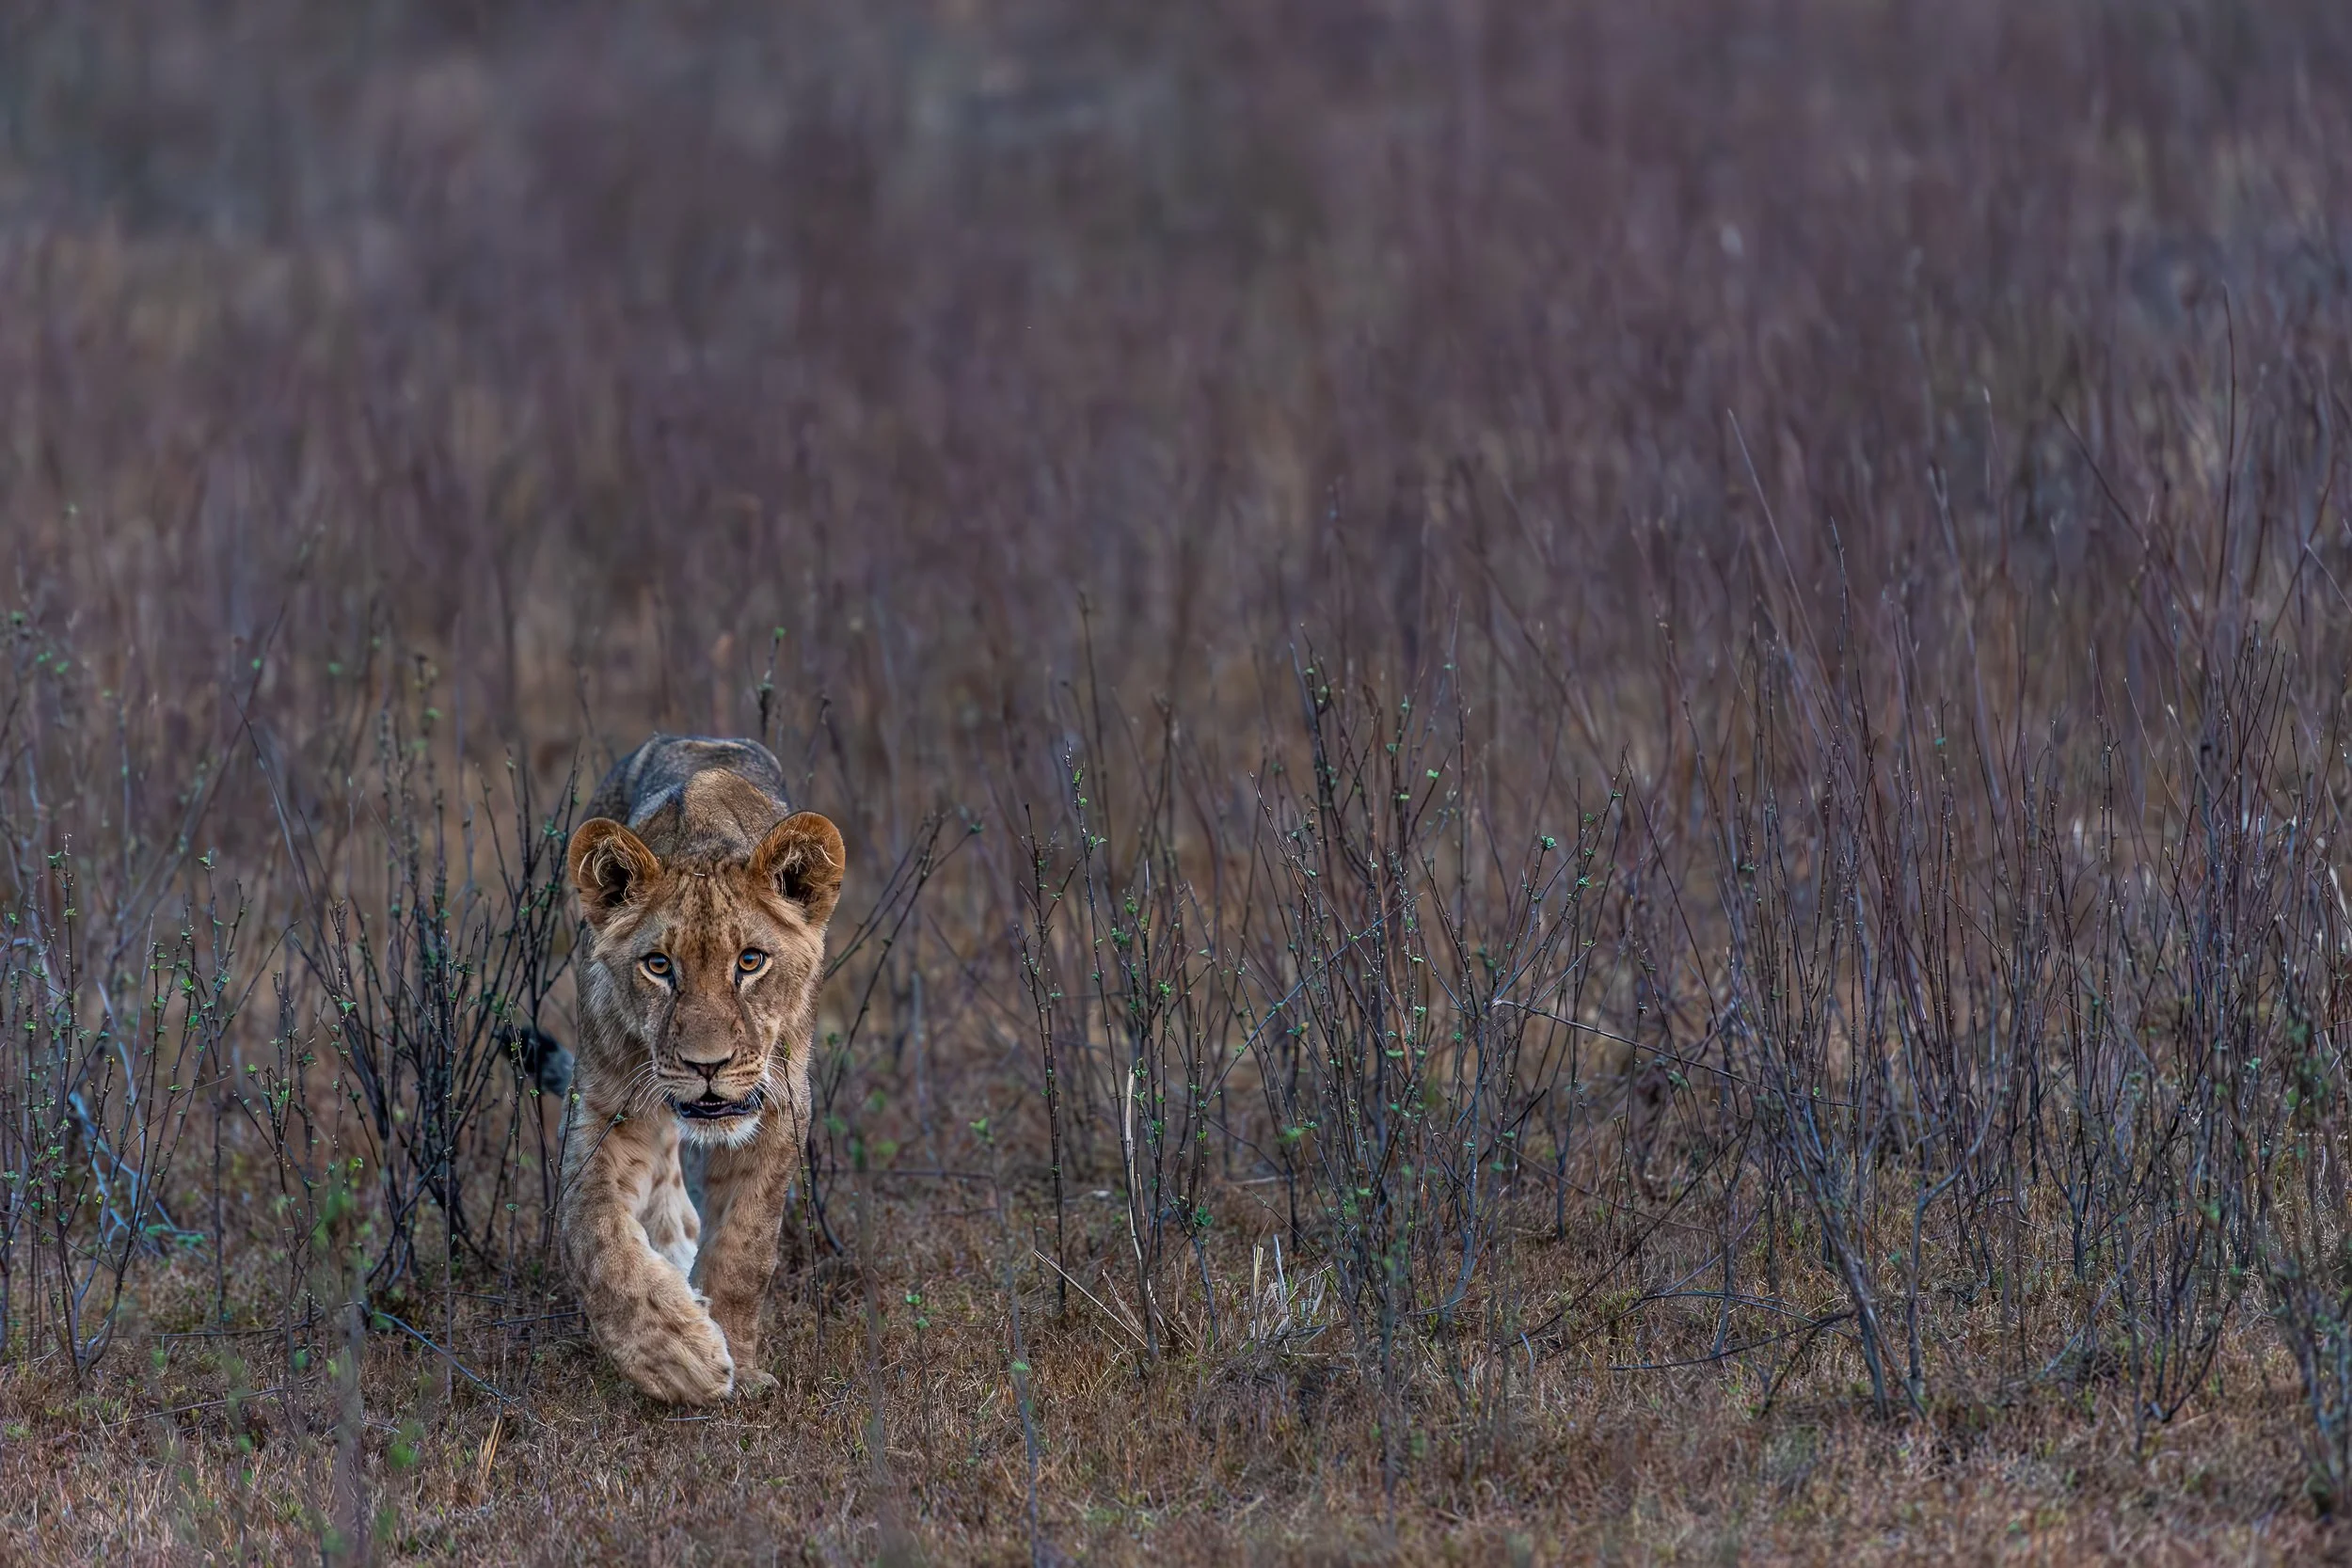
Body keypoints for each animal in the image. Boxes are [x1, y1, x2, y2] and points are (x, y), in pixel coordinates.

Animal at [558, 734, 844, 1403]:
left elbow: (745, 1247)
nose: (705, 1065)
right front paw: (679, 1357)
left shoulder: (781, 1105)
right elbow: (596, 1237)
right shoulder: (606, 1110)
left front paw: (742, 1361)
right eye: (659, 965)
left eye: (751, 961)